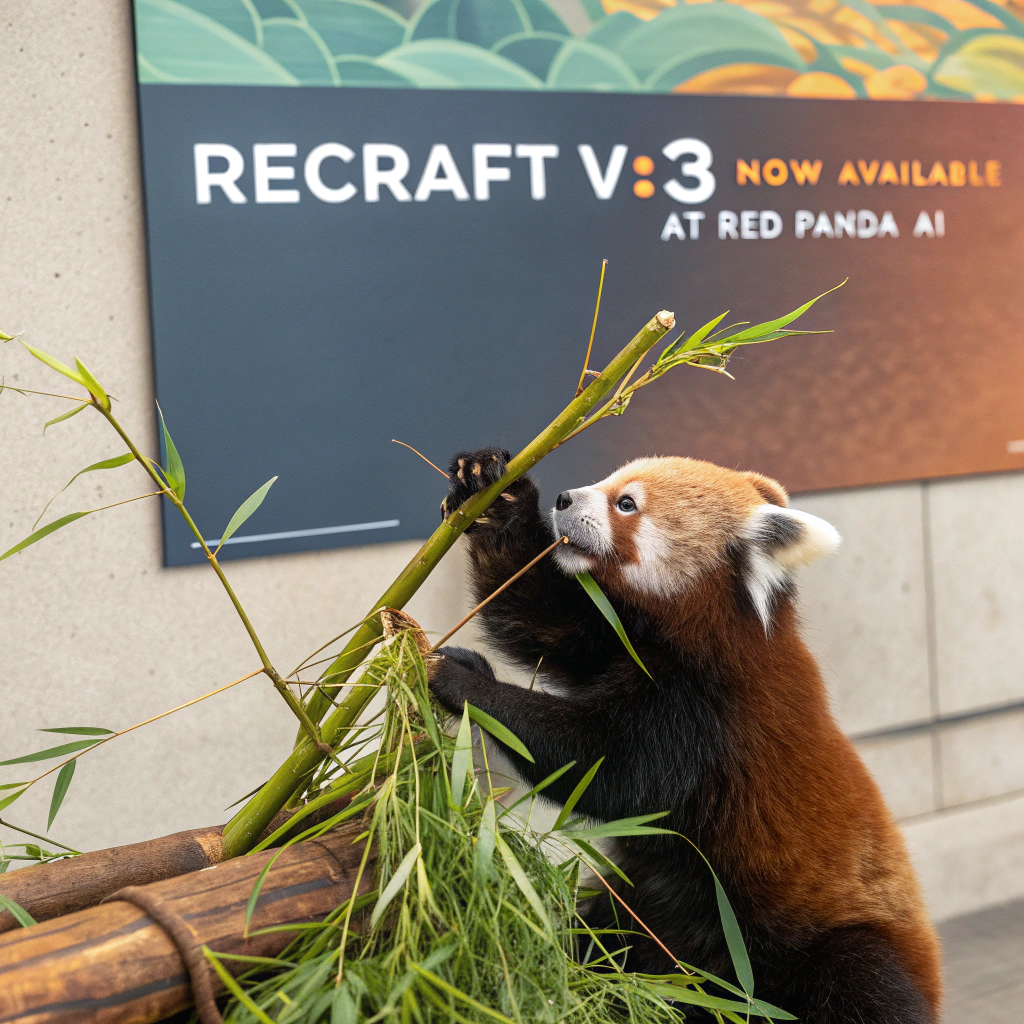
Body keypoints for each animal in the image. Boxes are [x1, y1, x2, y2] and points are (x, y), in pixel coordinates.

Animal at [429, 447, 942, 1024]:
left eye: (626, 504)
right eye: (607, 483)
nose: (563, 499)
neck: (705, 633)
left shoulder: (713, 712)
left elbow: (606, 769)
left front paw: (467, 683)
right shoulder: (615, 640)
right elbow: (538, 615)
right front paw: (491, 484)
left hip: (830, 943)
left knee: (865, 986)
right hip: (641, 908)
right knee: (598, 932)